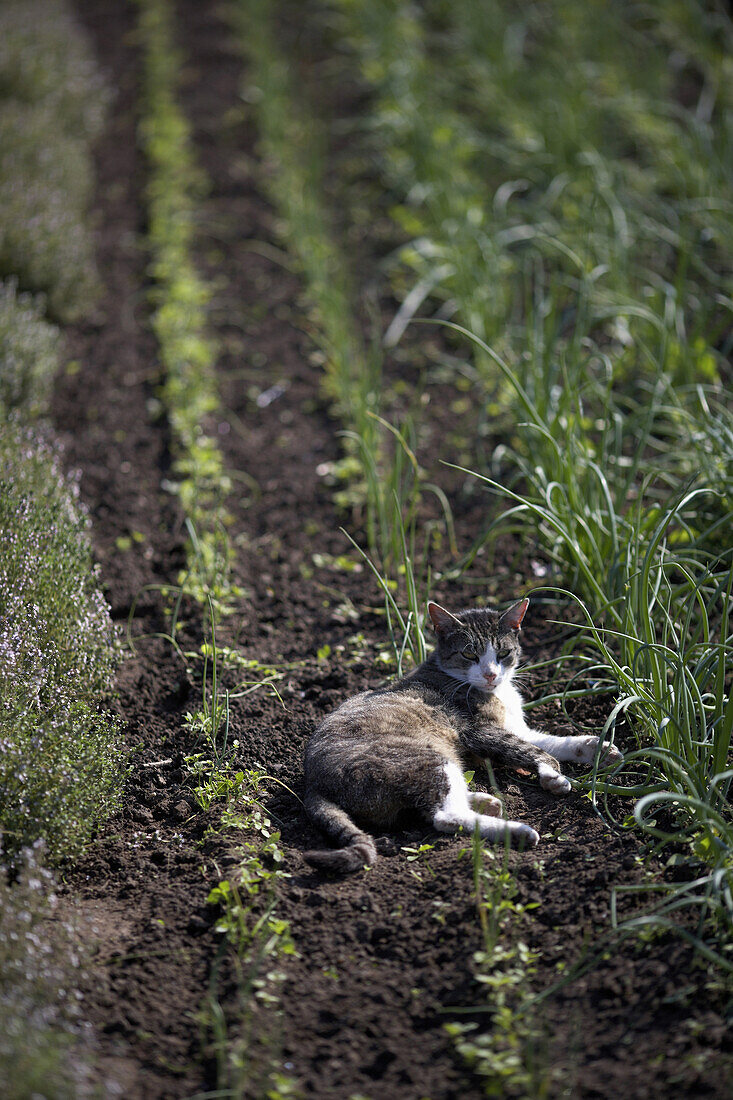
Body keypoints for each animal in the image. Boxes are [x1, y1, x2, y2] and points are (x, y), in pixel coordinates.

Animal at [299, 598, 620, 871]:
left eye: (503, 653)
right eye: (469, 654)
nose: (491, 674)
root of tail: (312, 782)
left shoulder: (516, 727)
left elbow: (552, 742)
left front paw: (598, 748)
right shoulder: (478, 731)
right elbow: (533, 751)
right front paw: (553, 776)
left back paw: (485, 801)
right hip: (425, 757)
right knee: (446, 816)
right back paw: (516, 832)